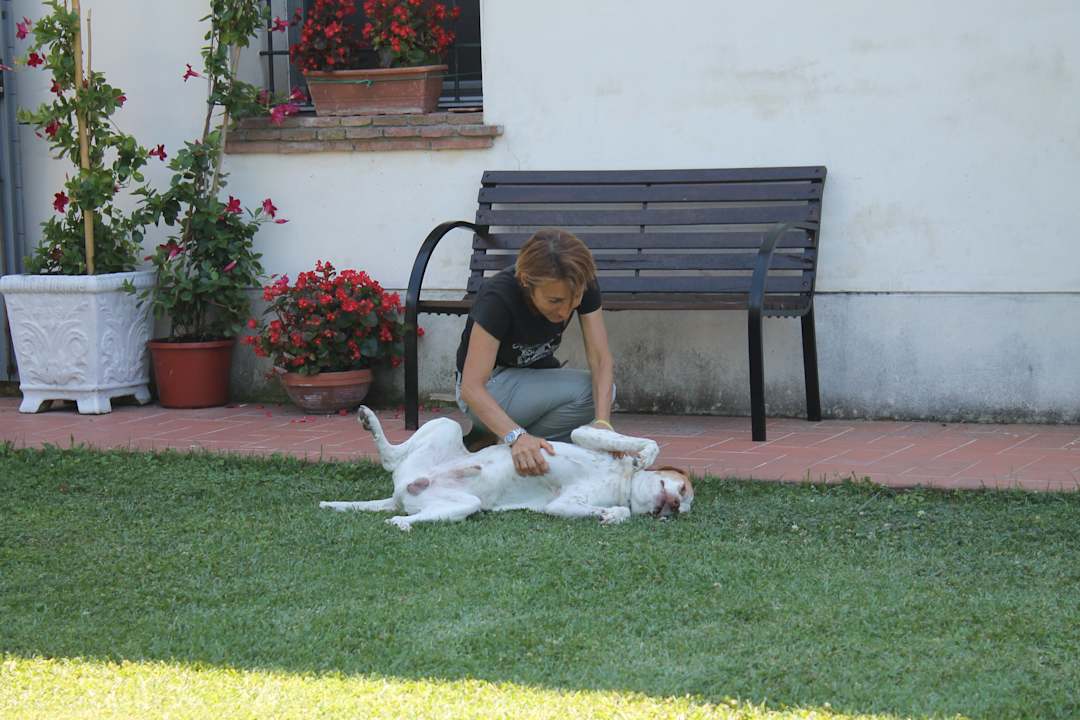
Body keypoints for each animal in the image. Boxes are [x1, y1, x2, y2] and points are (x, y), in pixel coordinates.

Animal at [320, 406, 693, 531]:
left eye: (682, 510)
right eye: (685, 488)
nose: (675, 507)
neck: (623, 482)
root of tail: (399, 493)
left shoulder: (564, 505)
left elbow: (617, 511)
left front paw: (612, 515)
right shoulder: (585, 435)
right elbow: (642, 443)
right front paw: (645, 456)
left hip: (460, 505)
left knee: (414, 510)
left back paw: (401, 522)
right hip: (446, 426)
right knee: (390, 458)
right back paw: (369, 419)